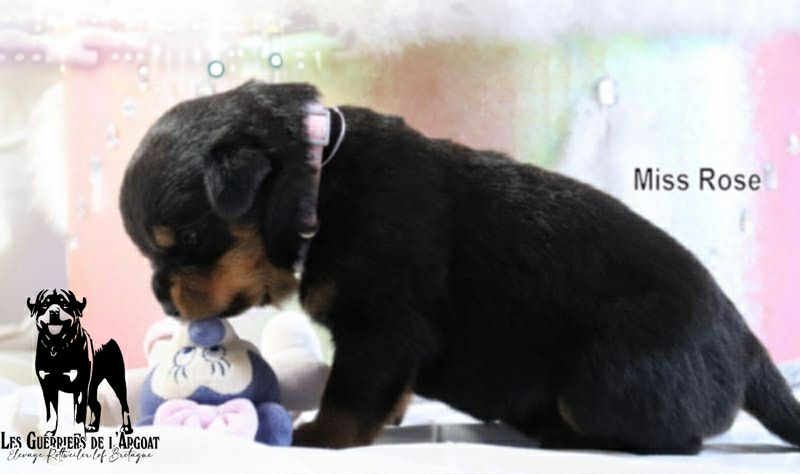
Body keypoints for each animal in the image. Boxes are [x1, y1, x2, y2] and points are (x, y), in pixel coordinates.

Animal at [28, 289, 133, 435]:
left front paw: (78, 434)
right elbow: (52, 412)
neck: (57, 346)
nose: (54, 311)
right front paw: (50, 431)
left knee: (124, 403)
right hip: (93, 385)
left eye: (64, 304)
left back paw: (127, 428)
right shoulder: (48, 386)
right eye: (44, 305)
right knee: (96, 404)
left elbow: (79, 413)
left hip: (116, 379)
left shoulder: (80, 385)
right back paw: (93, 426)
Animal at [119, 80, 800, 453]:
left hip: (612, 378)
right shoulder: (387, 340)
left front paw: (321, 435)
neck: (319, 187)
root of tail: (746, 344)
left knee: (675, 438)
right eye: (151, 251)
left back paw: (563, 434)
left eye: (186, 240)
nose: (160, 297)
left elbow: (350, 389)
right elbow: (386, 387)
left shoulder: (381, 325)